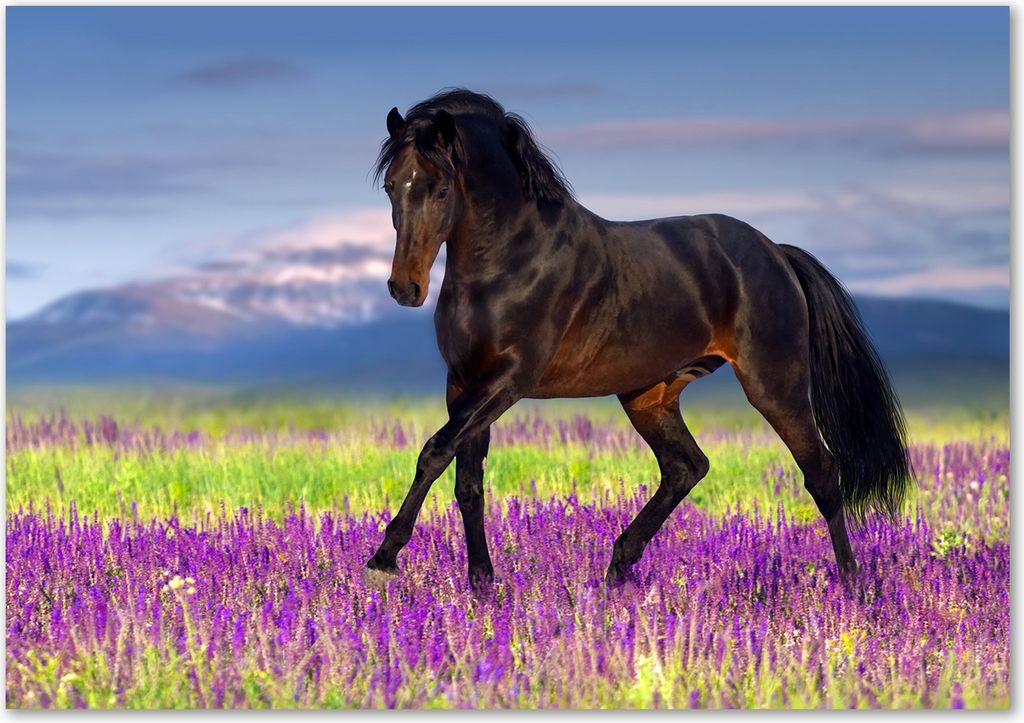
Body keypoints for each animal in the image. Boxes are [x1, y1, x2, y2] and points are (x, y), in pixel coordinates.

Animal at [366, 88, 910, 591]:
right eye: (391, 187)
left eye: (440, 190)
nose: (405, 288)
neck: (509, 262)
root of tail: (776, 252)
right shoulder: (465, 382)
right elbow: (467, 482)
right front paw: (482, 584)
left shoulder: (507, 382)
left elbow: (435, 451)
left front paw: (384, 557)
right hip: (650, 395)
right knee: (686, 467)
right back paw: (616, 569)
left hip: (776, 386)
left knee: (821, 472)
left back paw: (852, 585)